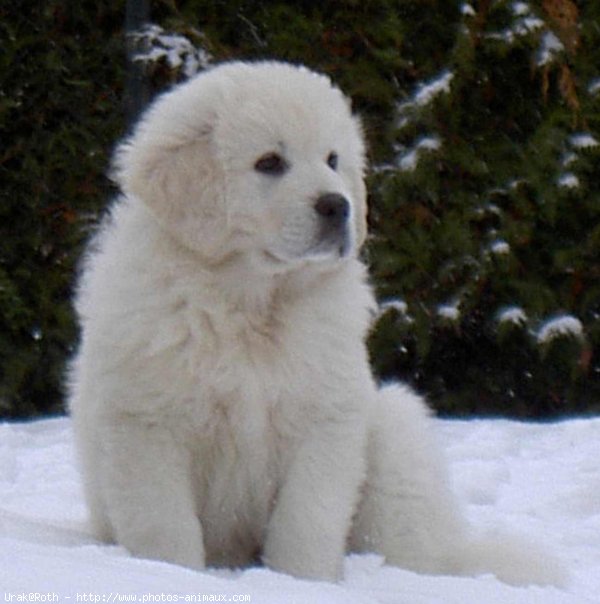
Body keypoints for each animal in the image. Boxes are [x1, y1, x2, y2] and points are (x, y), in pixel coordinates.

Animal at [69, 60, 564, 584]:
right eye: (269, 163)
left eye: (332, 159)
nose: (338, 205)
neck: (252, 305)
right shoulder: (148, 426)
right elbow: (166, 528)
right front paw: (172, 577)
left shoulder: (326, 420)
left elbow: (306, 519)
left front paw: (302, 582)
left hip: (392, 431)